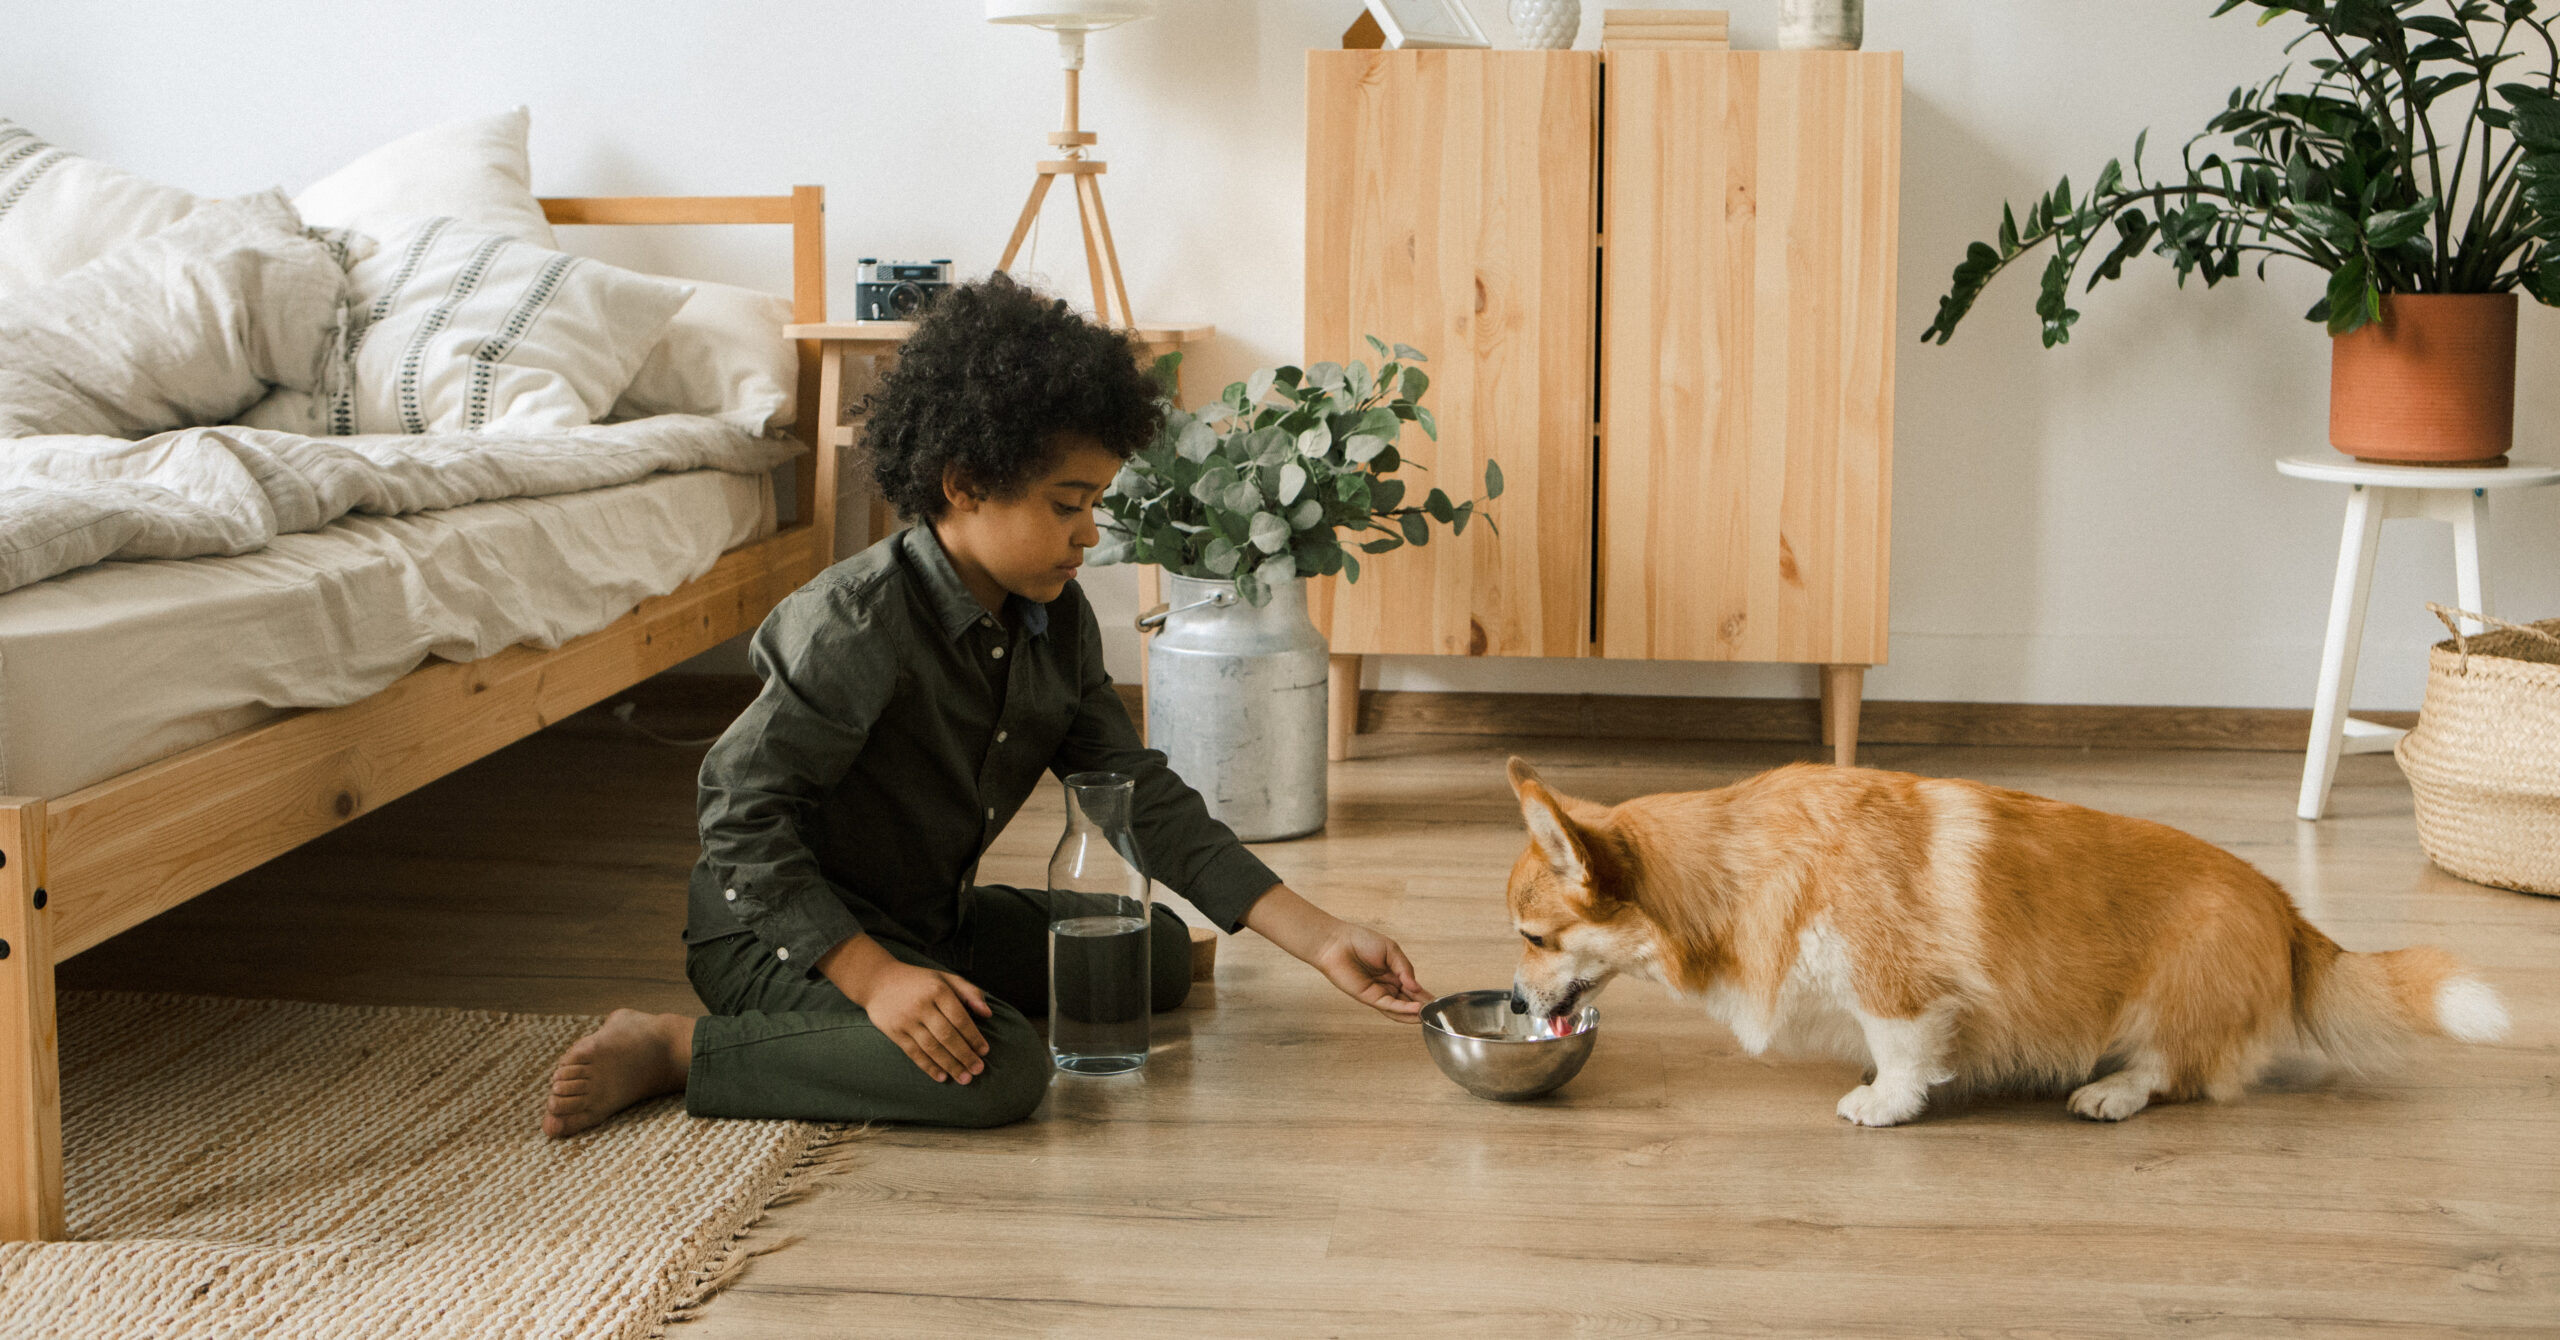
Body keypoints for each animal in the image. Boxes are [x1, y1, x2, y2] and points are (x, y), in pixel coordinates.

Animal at [1495, 758, 2519, 1127]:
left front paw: (1882, 1102)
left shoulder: (1899, 990)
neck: (1736, 870)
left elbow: (1906, 1054)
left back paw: (2108, 1093)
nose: (1509, 1000)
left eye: (1533, 937)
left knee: (2174, 1069)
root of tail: (2290, 912)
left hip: (2174, 988)